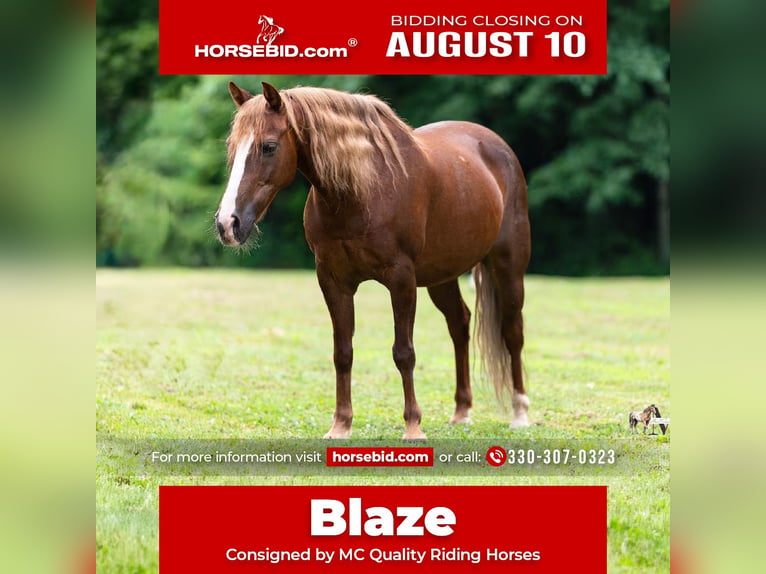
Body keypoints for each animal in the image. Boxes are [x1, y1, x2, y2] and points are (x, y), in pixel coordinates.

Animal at [215, 81, 531, 440]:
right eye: (232, 146)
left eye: (268, 147)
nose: (227, 223)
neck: (360, 192)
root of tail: (496, 146)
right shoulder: (333, 280)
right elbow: (343, 352)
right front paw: (340, 425)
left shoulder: (401, 279)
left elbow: (404, 352)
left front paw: (413, 426)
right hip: (442, 276)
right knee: (459, 324)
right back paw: (462, 411)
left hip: (508, 266)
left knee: (512, 331)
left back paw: (520, 412)